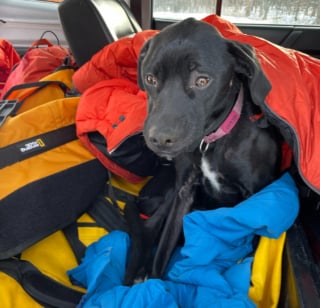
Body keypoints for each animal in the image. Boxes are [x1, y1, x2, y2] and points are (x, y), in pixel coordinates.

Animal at [125, 18, 282, 286]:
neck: (212, 141)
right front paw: (157, 285)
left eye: (202, 81)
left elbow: (253, 243)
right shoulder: (183, 191)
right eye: (151, 79)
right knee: (149, 229)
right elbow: (164, 247)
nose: (159, 139)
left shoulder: (257, 196)